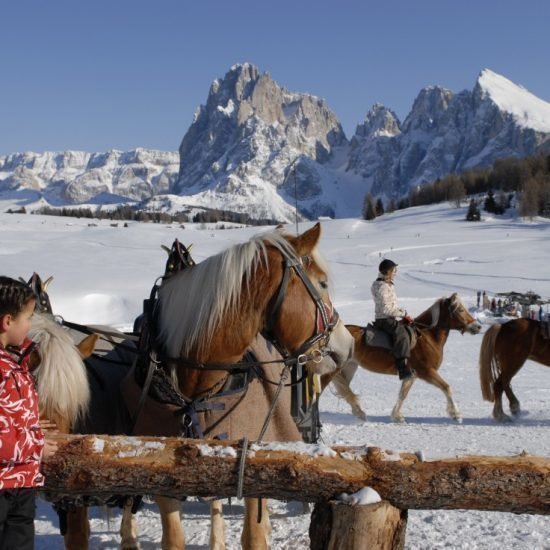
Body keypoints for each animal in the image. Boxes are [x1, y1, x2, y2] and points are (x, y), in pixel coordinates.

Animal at [328, 296, 484, 424]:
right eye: (461, 310)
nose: (477, 327)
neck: (426, 337)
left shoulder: (411, 375)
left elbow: (403, 394)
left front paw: (397, 416)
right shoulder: (427, 372)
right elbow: (447, 387)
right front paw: (456, 415)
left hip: (349, 367)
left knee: (345, 389)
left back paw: (359, 412)